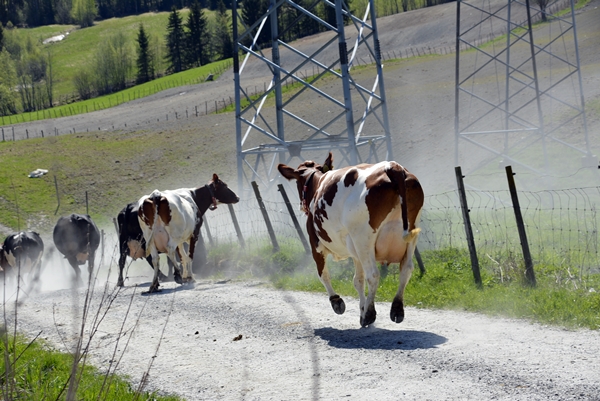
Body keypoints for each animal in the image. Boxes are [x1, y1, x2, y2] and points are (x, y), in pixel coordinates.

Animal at [276, 152, 422, 324]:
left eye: (298, 183)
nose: (301, 205)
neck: (319, 182)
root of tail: (392, 167)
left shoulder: (315, 244)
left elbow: (323, 274)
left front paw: (337, 301)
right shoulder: (355, 252)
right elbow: (358, 280)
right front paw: (361, 309)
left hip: (363, 238)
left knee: (373, 274)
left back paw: (370, 313)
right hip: (410, 234)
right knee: (406, 269)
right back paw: (396, 308)